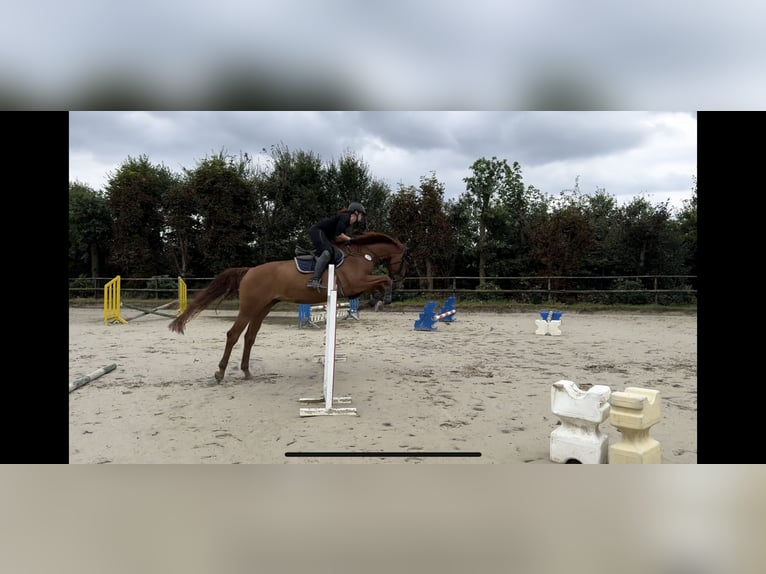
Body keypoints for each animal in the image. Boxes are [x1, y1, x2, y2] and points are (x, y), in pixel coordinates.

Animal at [168, 231, 409, 382]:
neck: (362, 255)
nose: (401, 280)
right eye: (405, 259)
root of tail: (249, 271)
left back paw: (247, 372)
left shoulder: (357, 287)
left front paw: (376, 300)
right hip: (249, 308)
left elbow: (379, 283)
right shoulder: (355, 284)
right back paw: (220, 373)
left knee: (249, 337)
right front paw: (385, 297)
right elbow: (383, 280)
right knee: (233, 335)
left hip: (263, 308)